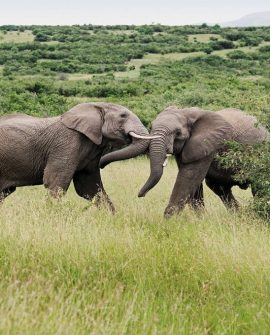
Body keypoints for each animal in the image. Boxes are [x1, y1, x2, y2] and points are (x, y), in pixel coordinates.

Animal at [0, 101, 154, 210]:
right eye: (123, 116)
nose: (103, 164)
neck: (97, 105)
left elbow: (89, 187)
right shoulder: (66, 144)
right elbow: (55, 182)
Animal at [138, 107, 268, 218]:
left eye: (178, 133)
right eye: (150, 128)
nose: (140, 195)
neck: (186, 111)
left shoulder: (208, 144)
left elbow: (189, 176)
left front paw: (169, 220)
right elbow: (193, 180)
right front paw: (200, 219)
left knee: (258, 186)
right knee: (218, 187)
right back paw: (239, 215)